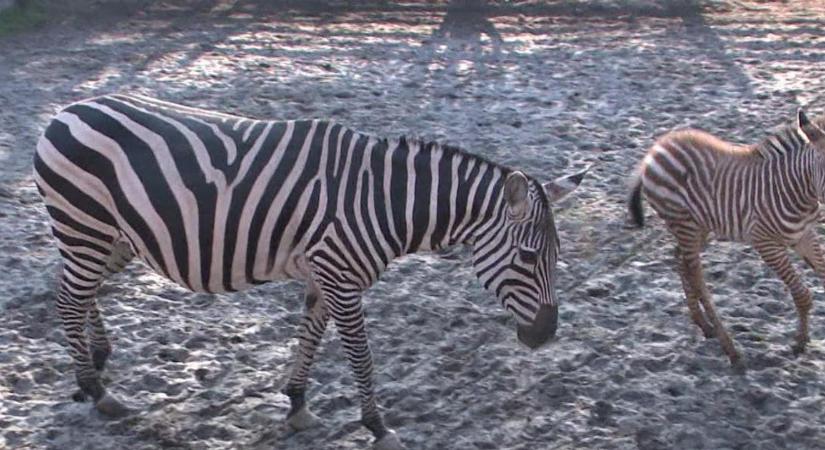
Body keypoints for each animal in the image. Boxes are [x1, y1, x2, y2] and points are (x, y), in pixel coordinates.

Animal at [32, 93, 584, 448]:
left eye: (557, 256)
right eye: (529, 258)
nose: (545, 336)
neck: (384, 201)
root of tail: (65, 111)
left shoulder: (326, 274)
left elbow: (311, 336)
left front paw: (296, 403)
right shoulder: (341, 276)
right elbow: (360, 355)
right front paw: (377, 426)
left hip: (113, 238)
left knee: (82, 293)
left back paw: (97, 361)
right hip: (85, 225)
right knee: (69, 300)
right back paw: (98, 390)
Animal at [628, 109, 824, 370]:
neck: (798, 192)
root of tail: (655, 150)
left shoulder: (804, 235)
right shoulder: (765, 243)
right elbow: (802, 295)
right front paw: (800, 343)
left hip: (699, 226)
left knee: (679, 259)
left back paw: (704, 324)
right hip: (685, 224)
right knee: (696, 275)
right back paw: (731, 350)